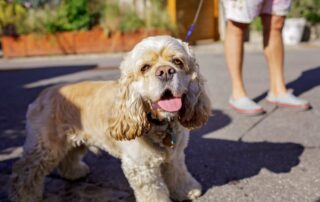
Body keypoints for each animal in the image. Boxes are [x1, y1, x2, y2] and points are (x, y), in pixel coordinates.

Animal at [8, 36, 211, 202]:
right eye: (144, 67)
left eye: (177, 61)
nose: (166, 71)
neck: (161, 124)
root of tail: (43, 93)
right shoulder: (140, 166)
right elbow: (153, 191)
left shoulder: (176, 156)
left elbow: (179, 174)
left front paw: (187, 191)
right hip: (45, 147)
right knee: (23, 171)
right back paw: (25, 196)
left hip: (74, 139)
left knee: (69, 156)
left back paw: (75, 173)